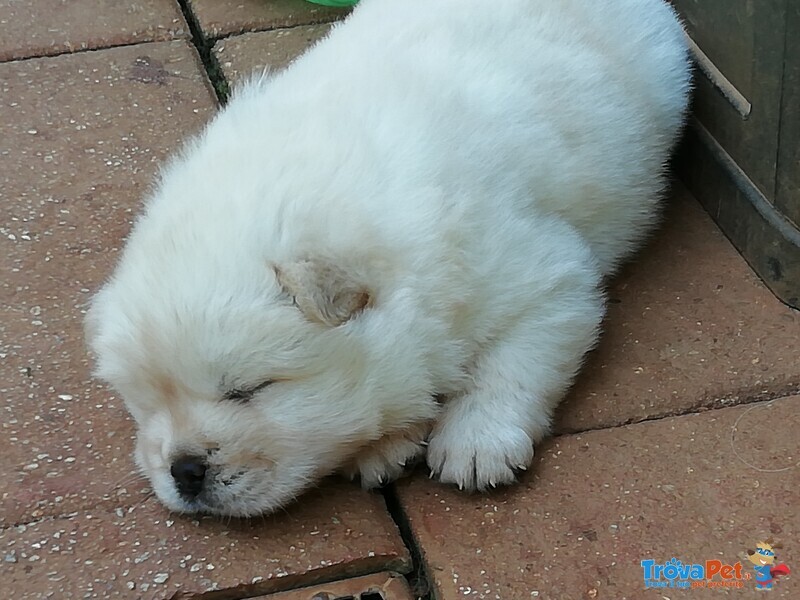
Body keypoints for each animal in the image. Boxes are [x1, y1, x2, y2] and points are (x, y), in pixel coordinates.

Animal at [84, 0, 692, 516]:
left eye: (247, 390)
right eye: (147, 404)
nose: (184, 470)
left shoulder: (547, 278)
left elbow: (509, 366)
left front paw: (474, 443)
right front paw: (386, 446)